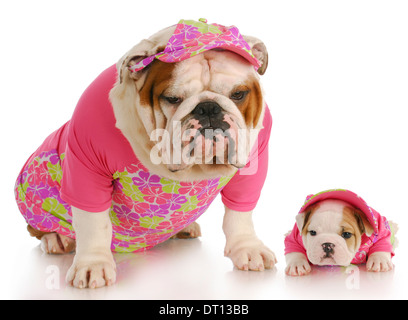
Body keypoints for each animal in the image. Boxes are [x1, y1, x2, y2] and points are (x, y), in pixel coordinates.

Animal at [15, 20, 278, 290]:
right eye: (172, 98)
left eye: (239, 94)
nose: (208, 108)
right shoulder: (85, 165)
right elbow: (93, 223)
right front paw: (93, 264)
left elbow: (239, 214)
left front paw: (247, 248)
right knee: (40, 227)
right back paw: (57, 239)